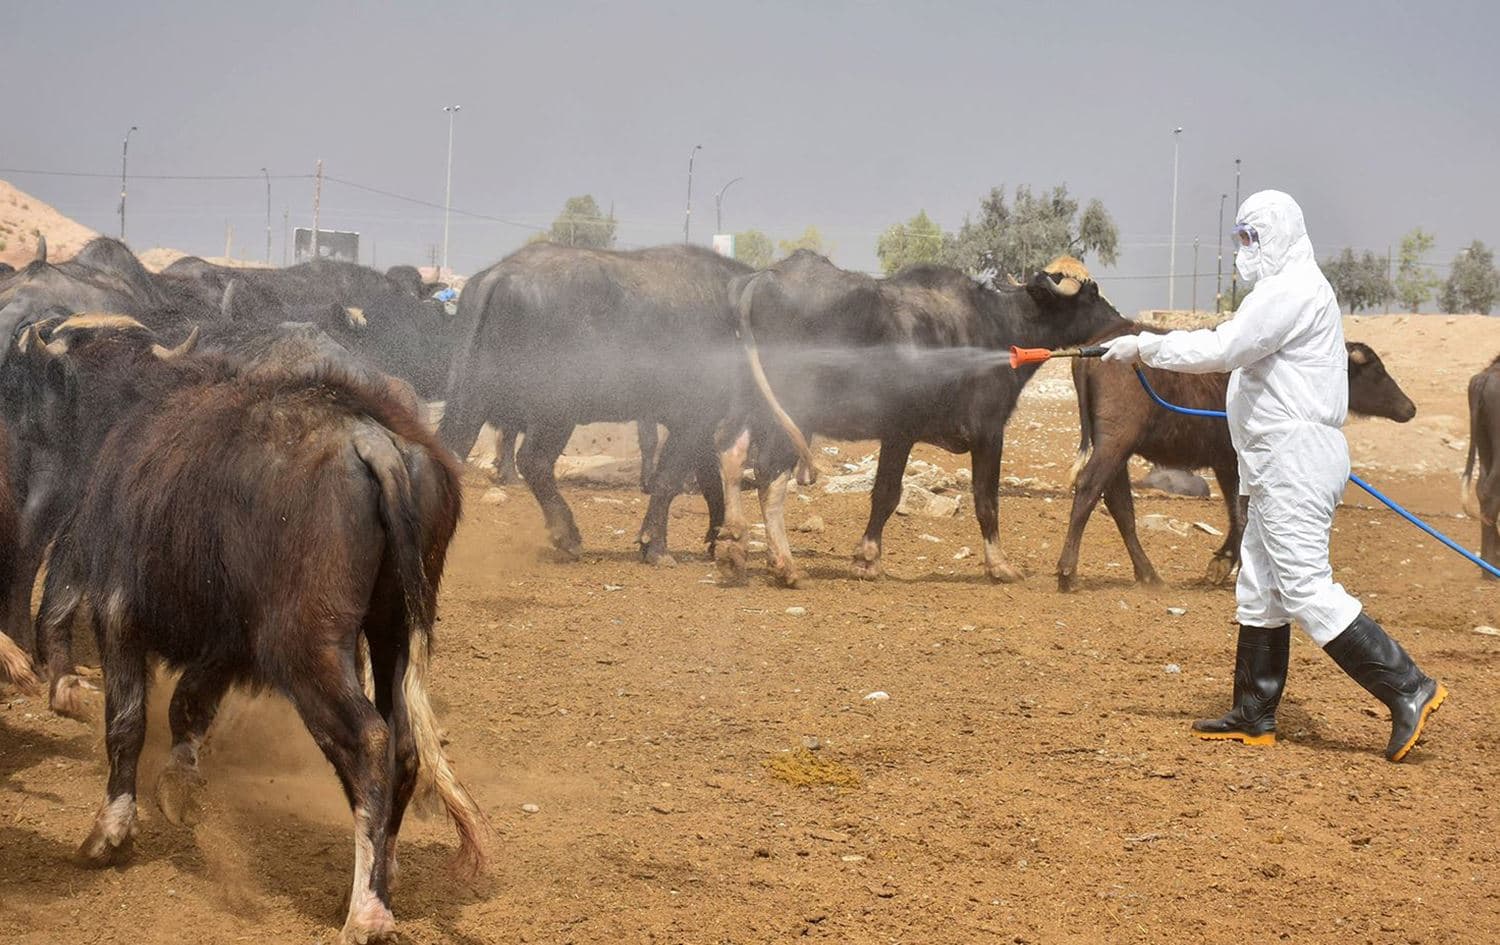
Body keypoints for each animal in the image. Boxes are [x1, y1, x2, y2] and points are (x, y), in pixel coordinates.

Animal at [5, 314, 486, 942]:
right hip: (393, 635)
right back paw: (385, 870)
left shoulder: (118, 612)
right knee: (403, 744)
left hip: (308, 649)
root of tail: (372, 440)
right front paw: (179, 786)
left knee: (370, 741)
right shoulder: (229, 640)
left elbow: (128, 723)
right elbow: (189, 705)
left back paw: (366, 910)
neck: (126, 414)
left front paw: (110, 831)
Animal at [439, 242, 751, 564]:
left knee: (453, 449)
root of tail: (501, 273)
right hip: (555, 411)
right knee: (534, 461)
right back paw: (568, 536)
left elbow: (710, 481)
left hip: (471, 398)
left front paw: (715, 538)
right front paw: (656, 546)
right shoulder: (694, 418)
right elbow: (670, 480)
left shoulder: (702, 425)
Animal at [716, 252, 1129, 587]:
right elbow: (978, 499)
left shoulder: (898, 435)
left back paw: (734, 546)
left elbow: (885, 494)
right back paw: (784, 566)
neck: (999, 328)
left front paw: (866, 558)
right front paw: (999, 566)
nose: (1120, 320)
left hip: (749, 405)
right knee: (770, 475)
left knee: (730, 453)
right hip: (792, 415)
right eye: (1091, 294)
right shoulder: (979, 432)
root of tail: (761, 279)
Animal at [1057, 324, 1418, 592]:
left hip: (1117, 449)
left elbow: (1236, 512)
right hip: (1115, 442)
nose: (1410, 408)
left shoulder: (1226, 463)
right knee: (1090, 488)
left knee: (1119, 504)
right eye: (1376, 370)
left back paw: (1149, 576)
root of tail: (1093, 351)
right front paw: (1234, 567)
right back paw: (1067, 573)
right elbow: (1244, 513)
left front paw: (1222, 563)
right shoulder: (1241, 460)